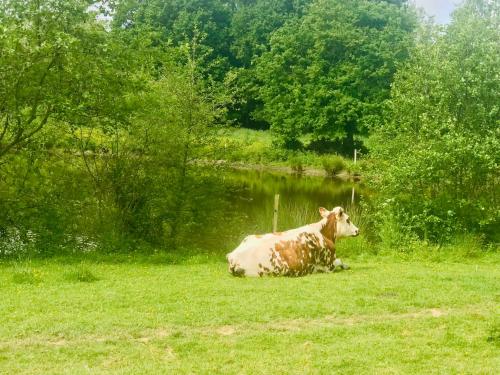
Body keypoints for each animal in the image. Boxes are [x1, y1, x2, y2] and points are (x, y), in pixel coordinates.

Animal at [227, 207, 360, 278]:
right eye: (348, 220)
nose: (357, 230)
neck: (323, 233)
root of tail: (232, 256)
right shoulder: (329, 265)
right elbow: (340, 261)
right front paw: (346, 266)